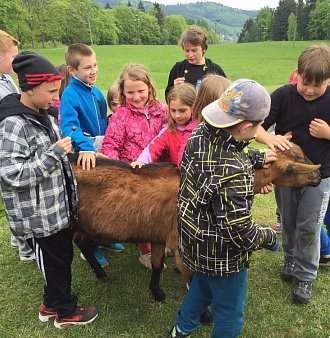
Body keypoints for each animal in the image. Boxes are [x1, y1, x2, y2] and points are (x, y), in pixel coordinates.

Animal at [69, 143, 320, 304]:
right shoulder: (181, 240)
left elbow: (158, 264)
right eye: (295, 164)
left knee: (81, 240)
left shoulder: (160, 234)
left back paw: (100, 273)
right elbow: (189, 274)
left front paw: (157, 292)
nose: (318, 176)